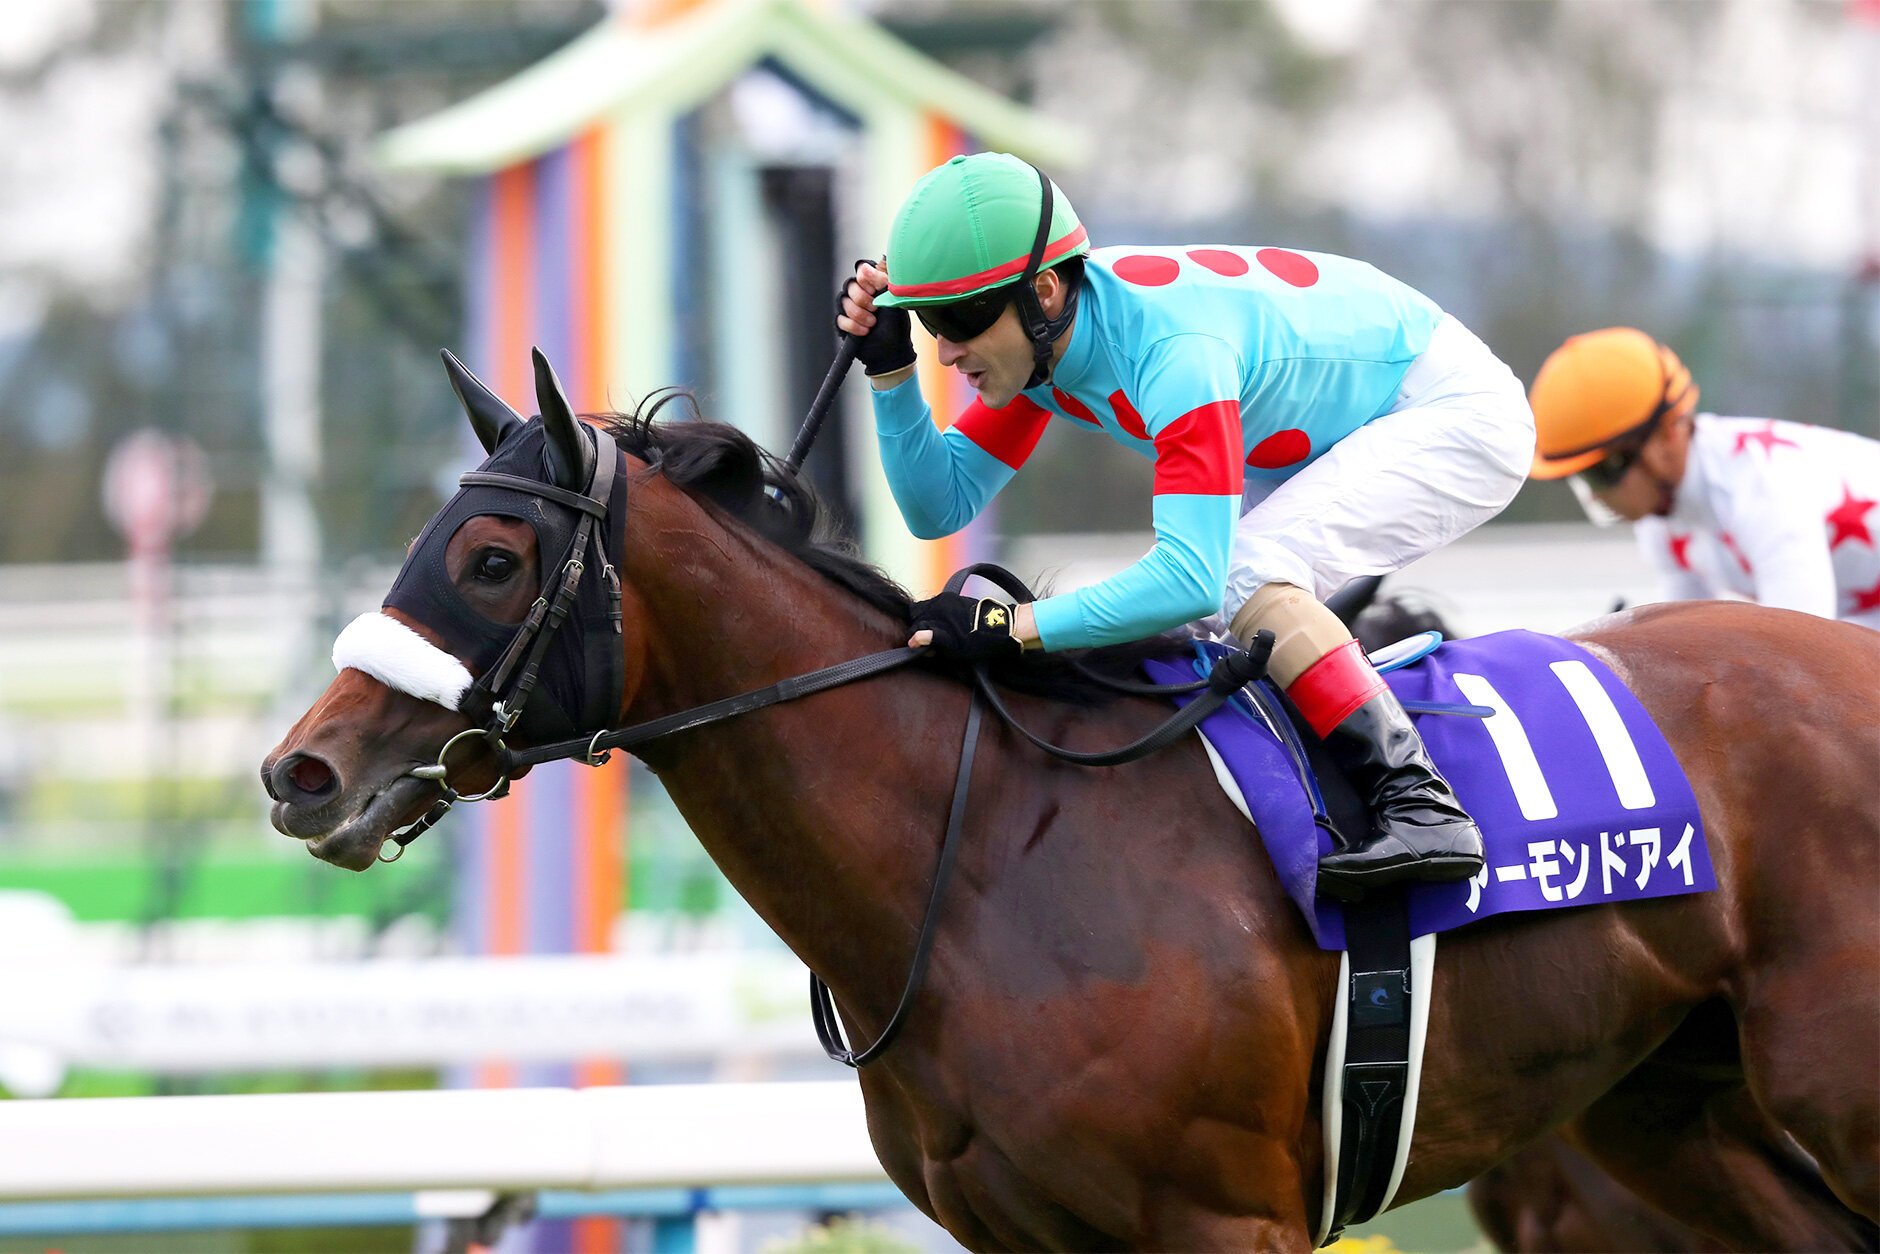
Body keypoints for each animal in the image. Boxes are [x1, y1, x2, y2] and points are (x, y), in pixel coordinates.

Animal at [263, 356, 1879, 1252]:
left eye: (488, 560)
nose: (299, 772)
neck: (983, 861)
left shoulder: (1229, 1217)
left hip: (1828, 1088)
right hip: (1665, 1109)